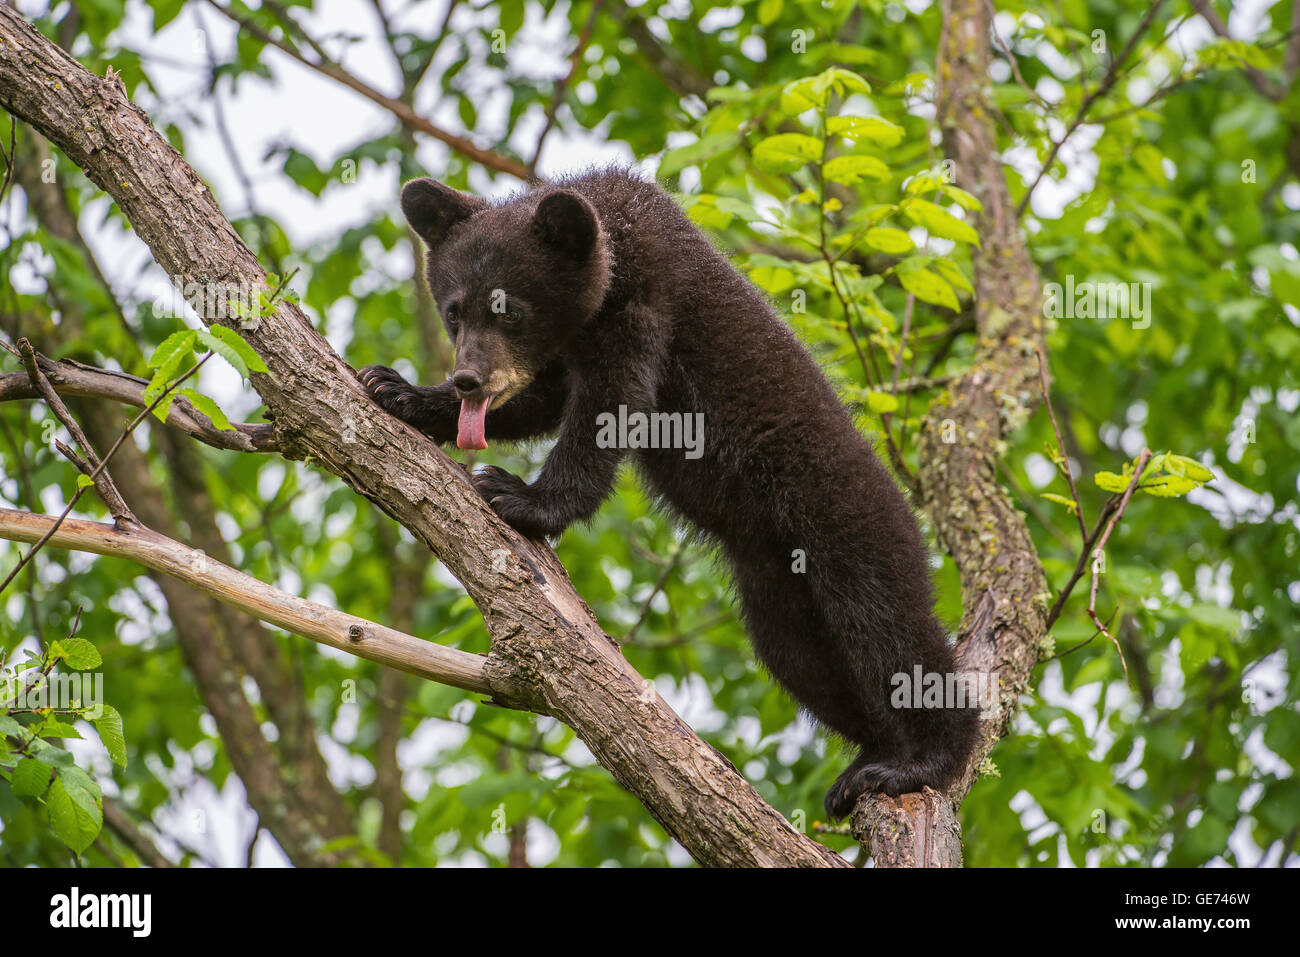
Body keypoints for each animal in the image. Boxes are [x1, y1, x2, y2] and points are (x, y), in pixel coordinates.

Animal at [359, 167, 980, 821]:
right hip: (775, 587)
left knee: (889, 632)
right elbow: (544, 399)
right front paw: (397, 390)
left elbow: (608, 409)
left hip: (849, 524)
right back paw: (866, 760)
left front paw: (522, 497)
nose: (467, 379)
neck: (613, 250)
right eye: (455, 312)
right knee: (799, 659)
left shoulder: (646, 305)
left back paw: (920, 761)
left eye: (511, 311)